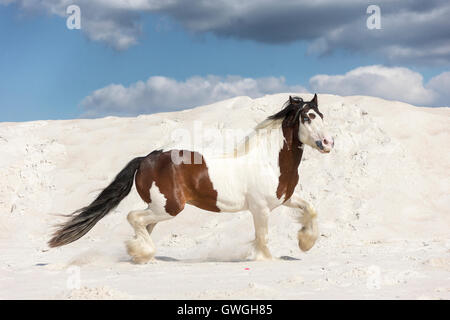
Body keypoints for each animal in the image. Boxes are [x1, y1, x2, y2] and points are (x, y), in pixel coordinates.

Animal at [48, 94, 334, 264]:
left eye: (321, 116)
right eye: (307, 117)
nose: (328, 143)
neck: (268, 160)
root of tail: (145, 158)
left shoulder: (283, 199)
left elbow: (311, 209)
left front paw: (305, 242)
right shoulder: (260, 208)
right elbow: (262, 239)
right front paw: (264, 259)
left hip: (159, 208)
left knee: (143, 225)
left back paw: (139, 255)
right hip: (169, 207)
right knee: (134, 218)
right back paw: (142, 253)